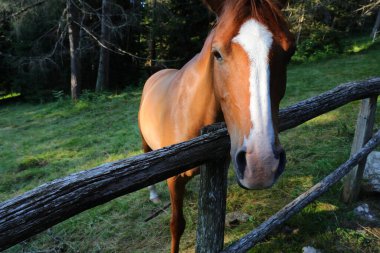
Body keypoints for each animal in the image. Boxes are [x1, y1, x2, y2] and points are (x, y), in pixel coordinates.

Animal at [138, 0, 296, 252]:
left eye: (290, 52)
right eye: (217, 54)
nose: (261, 165)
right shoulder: (173, 179)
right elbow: (176, 224)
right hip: (145, 141)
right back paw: (153, 194)